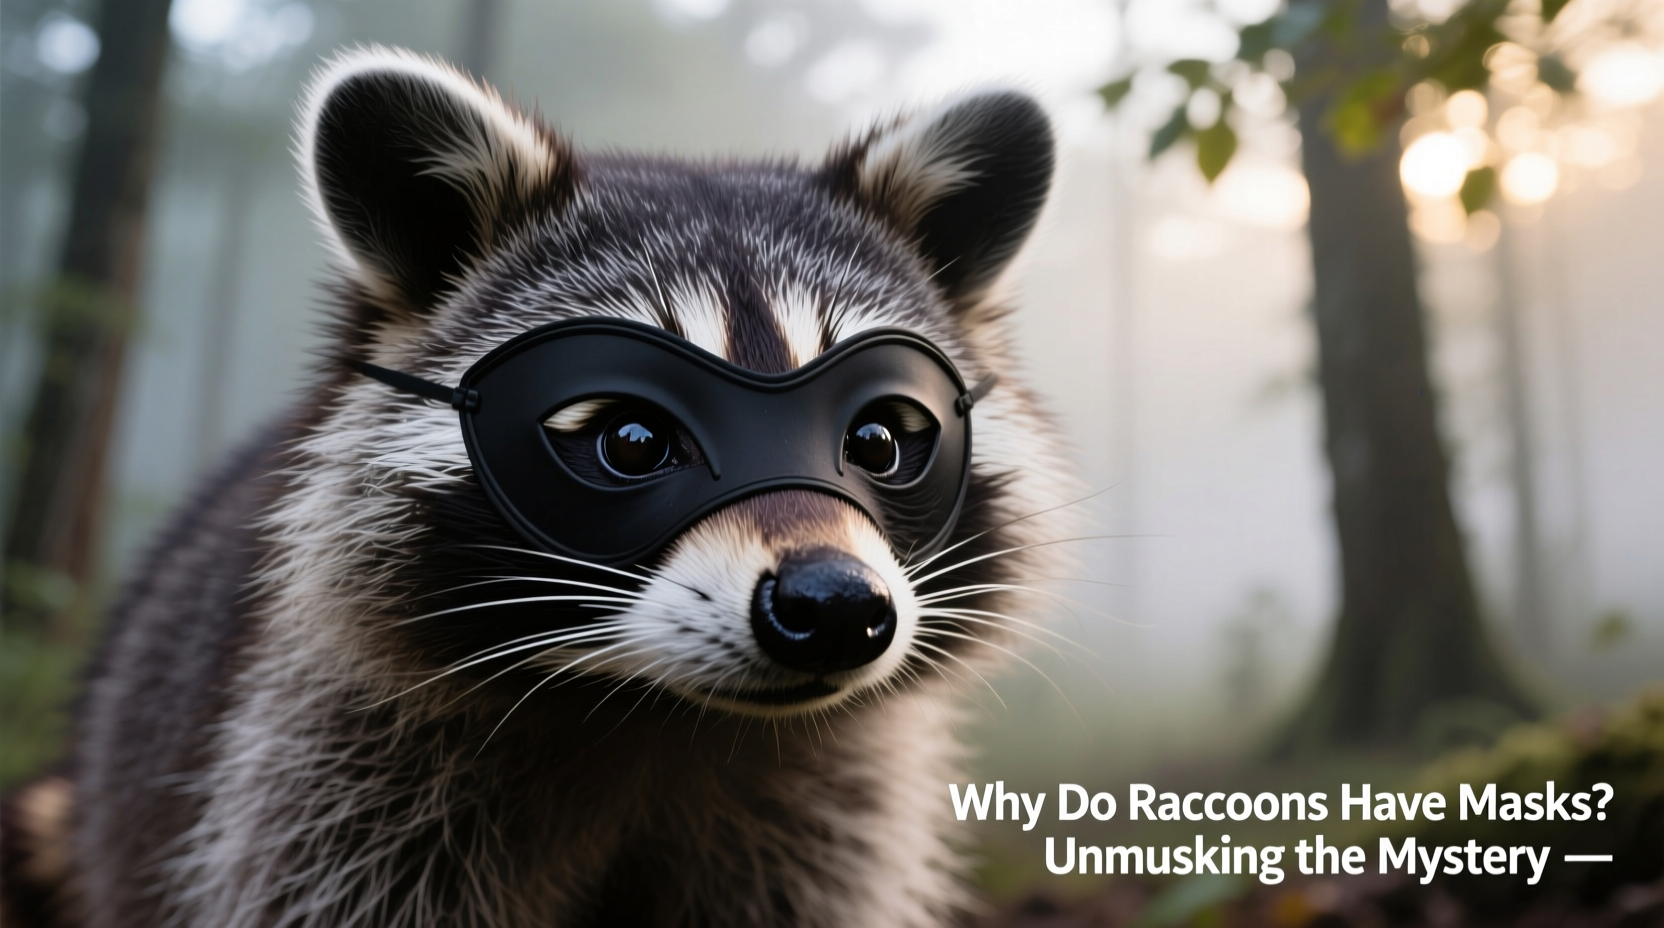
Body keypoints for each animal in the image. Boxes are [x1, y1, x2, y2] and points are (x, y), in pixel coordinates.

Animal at [5, 46, 1068, 928]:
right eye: (632, 442)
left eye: (878, 440)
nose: (837, 604)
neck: (661, 714)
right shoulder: (329, 787)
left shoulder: (831, 815)